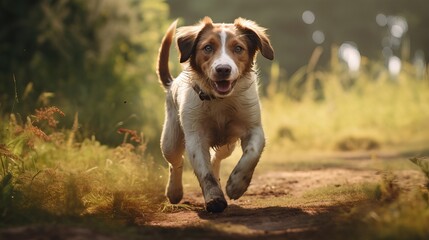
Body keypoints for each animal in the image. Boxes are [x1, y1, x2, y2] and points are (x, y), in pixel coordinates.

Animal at [155, 16, 272, 212]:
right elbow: (205, 172)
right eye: (208, 47)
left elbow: (252, 154)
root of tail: (172, 83)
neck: (219, 100)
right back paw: (174, 192)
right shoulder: (195, 137)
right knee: (176, 162)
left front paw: (236, 185)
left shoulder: (253, 128)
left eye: (238, 48)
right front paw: (214, 198)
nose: (223, 69)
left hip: (227, 145)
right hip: (170, 140)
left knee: (216, 159)